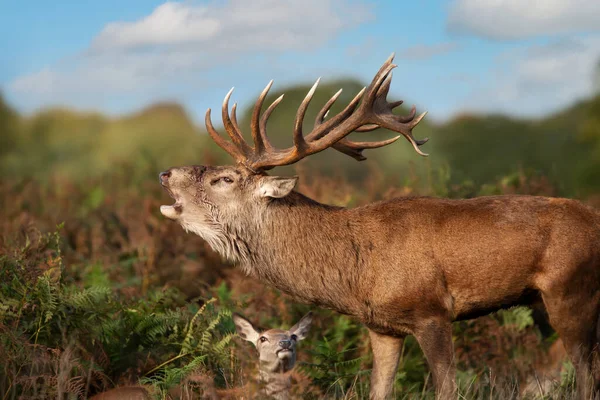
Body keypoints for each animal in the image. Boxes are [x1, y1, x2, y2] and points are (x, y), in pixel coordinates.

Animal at [159, 54, 600, 398]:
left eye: (224, 179)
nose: (165, 173)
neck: (356, 273)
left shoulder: (432, 311)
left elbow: (447, 389)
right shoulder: (381, 326)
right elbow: (378, 390)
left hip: (570, 290)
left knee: (585, 375)